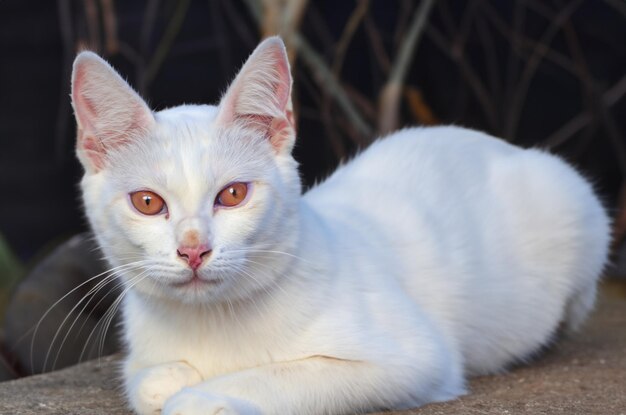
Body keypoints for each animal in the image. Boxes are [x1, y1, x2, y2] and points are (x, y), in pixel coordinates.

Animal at [70, 37, 608, 414]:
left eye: (233, 195)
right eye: (147, 202)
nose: (193, 249)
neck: (213, 323)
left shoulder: (415, 358)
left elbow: (284, 375)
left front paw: (201, 397)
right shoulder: (143, 351)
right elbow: (144, 380)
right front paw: (171, 380)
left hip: (582, 215)